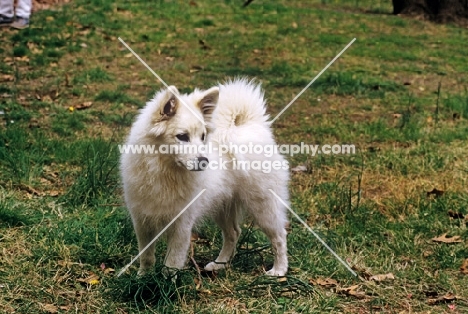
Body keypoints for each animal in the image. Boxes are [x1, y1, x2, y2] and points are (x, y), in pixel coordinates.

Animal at [120, 79, 288, 278]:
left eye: (202, 137)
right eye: (182, 137)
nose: (204, 161)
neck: (165, 172)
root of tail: (249, 126)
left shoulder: (182, 224)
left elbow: (172, 261)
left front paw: (167, 283)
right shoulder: (142, 222)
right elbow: (146, 256)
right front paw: (143, 278)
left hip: (263, 206)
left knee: (279, 236)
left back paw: (279, 270)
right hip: (223, 207)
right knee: (233, 233)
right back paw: (219, 264)